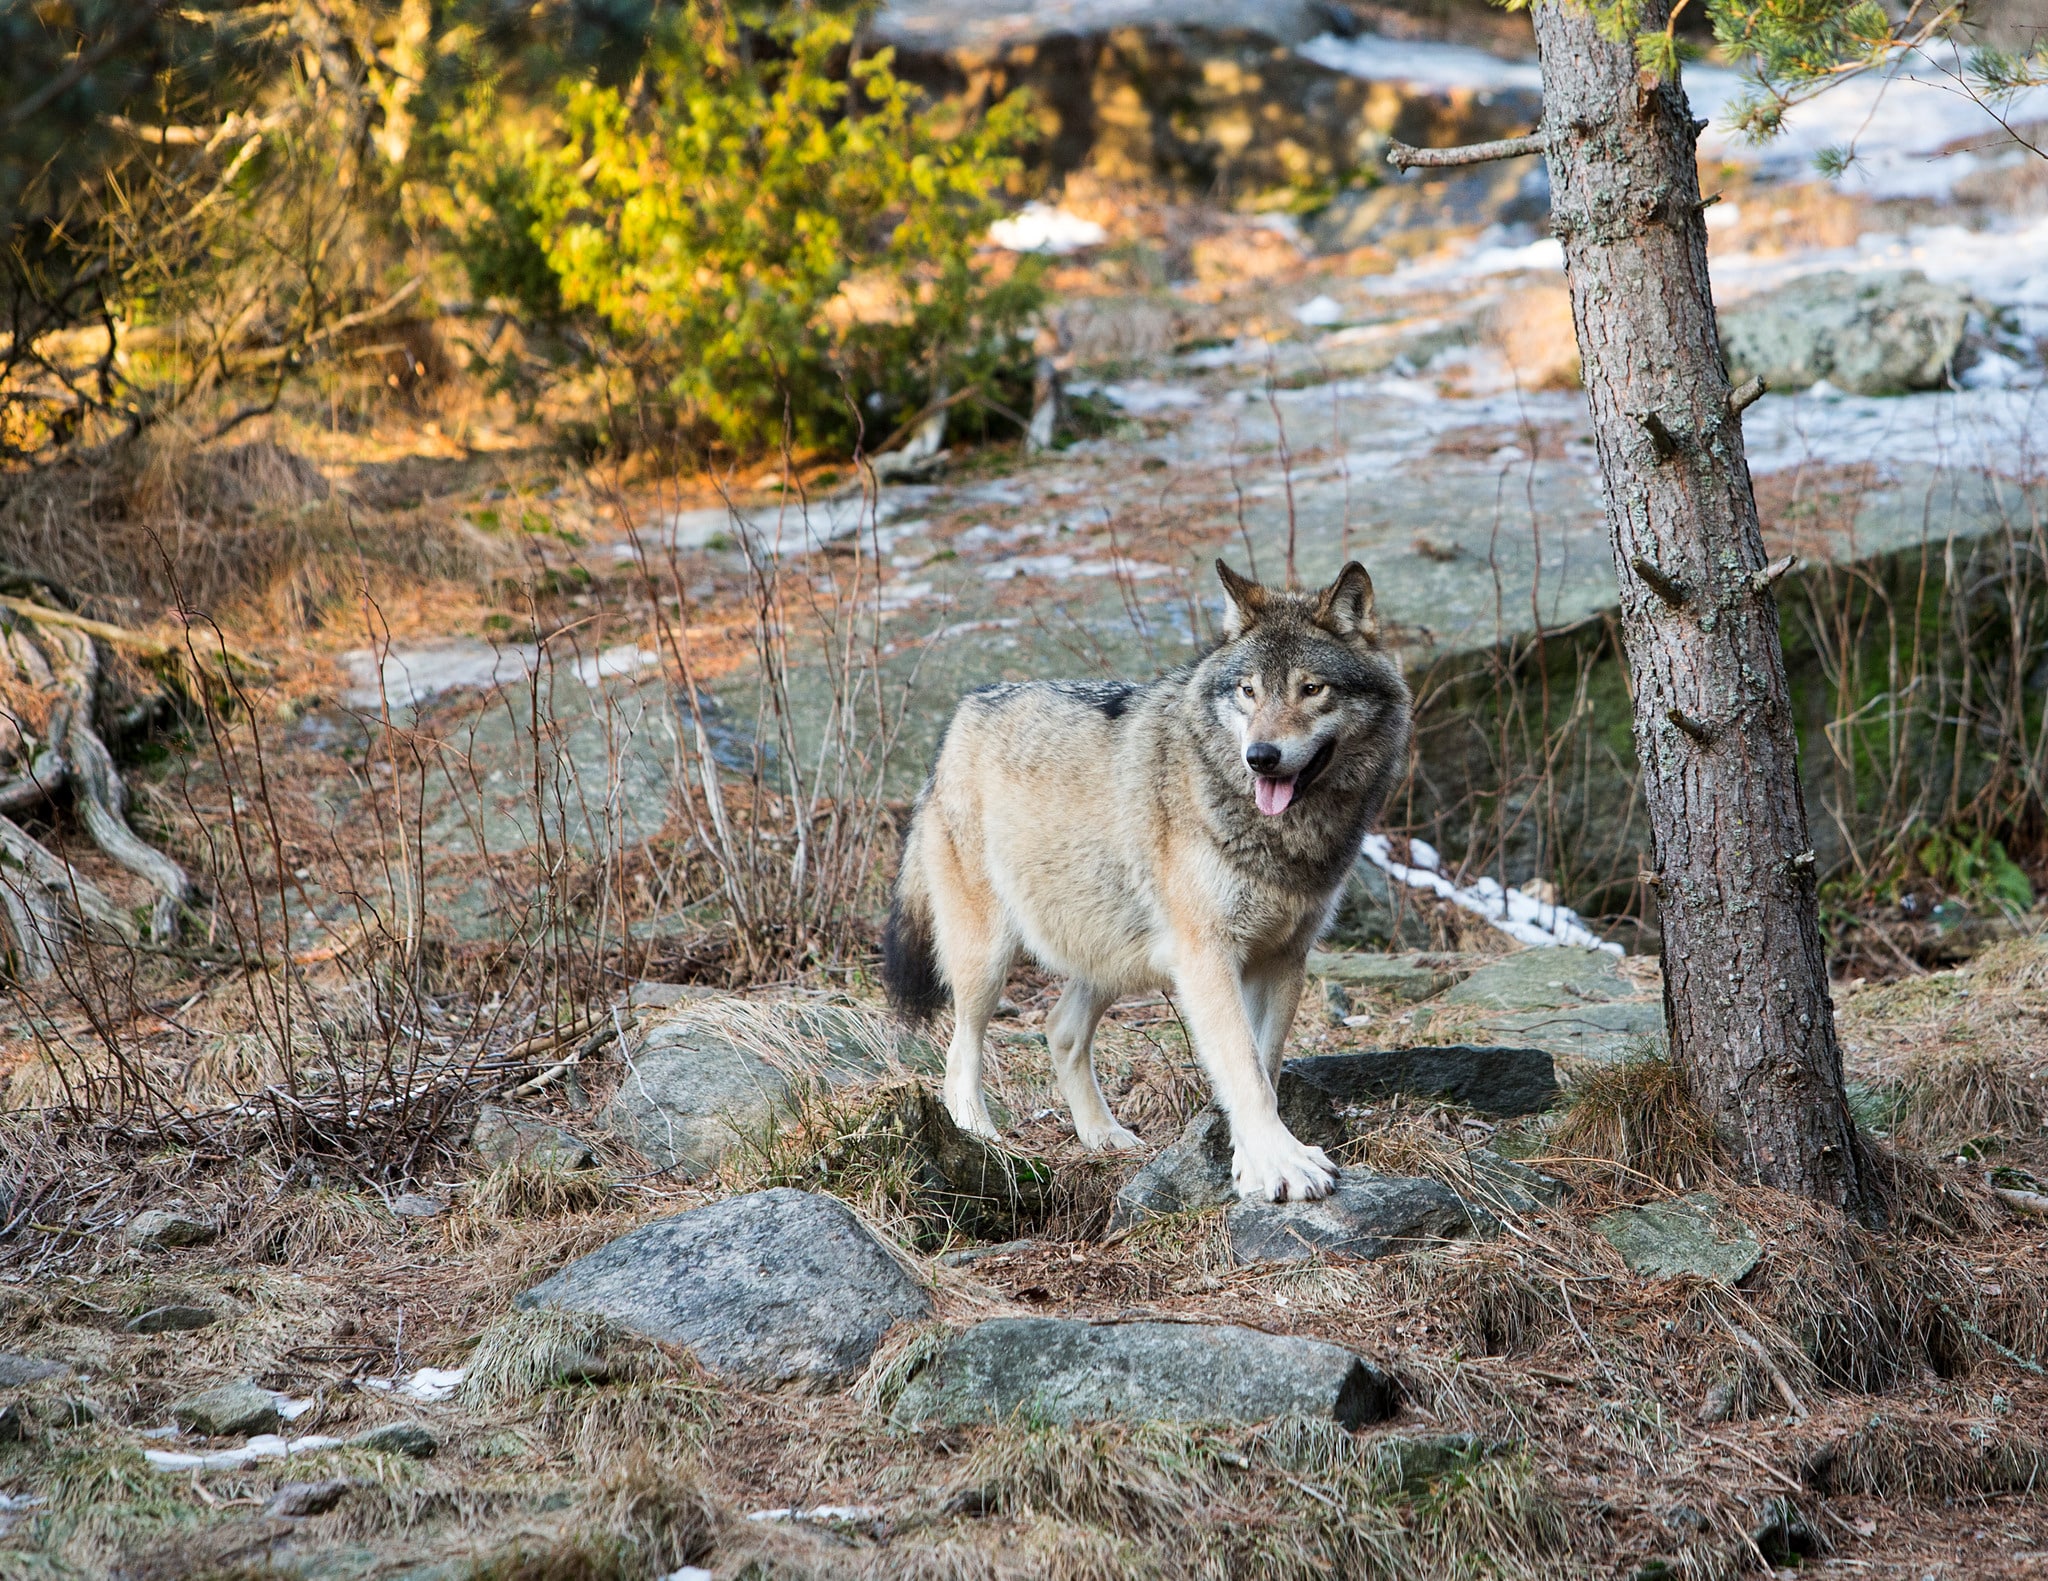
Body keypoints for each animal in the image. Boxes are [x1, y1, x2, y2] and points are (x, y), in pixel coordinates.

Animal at [880, 557, 1409, 1195]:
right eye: (1248, 690)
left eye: (1312, 688)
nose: (1261, 756)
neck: (1280, 836)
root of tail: (962, 715)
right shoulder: (1207, 955)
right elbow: (1243, 1065)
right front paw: (1279, 1165)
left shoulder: (1285, 956)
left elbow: (1264, 1063)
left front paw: (1245, 1155)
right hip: (989, 957)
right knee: (960, 1051)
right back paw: (983, 1138)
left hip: (1111, 949)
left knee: (1059, 1029)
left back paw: (1101, 1136)